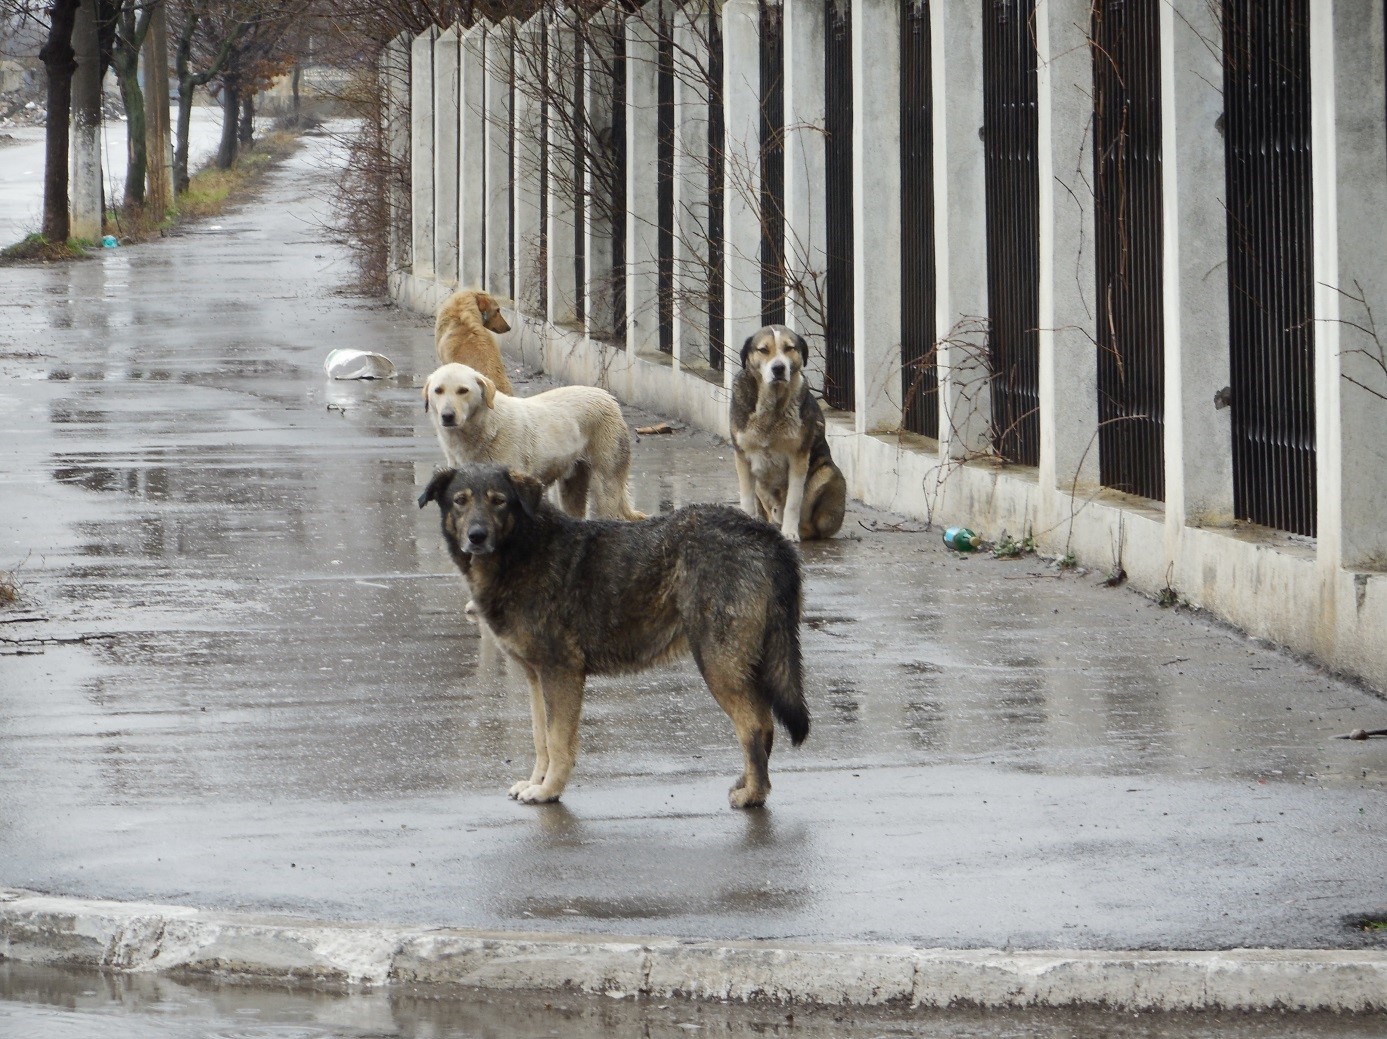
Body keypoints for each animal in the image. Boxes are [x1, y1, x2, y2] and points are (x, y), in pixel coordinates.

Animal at [418, 363, 646, 521]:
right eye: (438, 390)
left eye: (463, 390)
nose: (447, 416)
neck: (484, 429)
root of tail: (607, 395)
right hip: (571, 483)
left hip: (606, 481)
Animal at [421, 463, 810, 810]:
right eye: (460, 501)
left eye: (499, 501)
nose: (477, 536)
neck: (522, 548)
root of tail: (765, 534)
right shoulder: (536, 677)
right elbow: (540, 738)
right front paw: (537, 781)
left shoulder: (561, 674)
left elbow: (557, 741)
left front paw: (548, 791)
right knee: (762, 726)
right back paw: (750, 785)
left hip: (718, 665)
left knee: (754, 727)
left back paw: (753, 796)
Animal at [732, 324, 848, 543]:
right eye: (763, 350)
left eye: (789, 348)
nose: (778, 368)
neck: (772, 407)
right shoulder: (742, 456)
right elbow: (746, 499)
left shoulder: (798, 457)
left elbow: (793, 502)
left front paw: (790, 533)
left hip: (827, 473)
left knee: (812, 528)